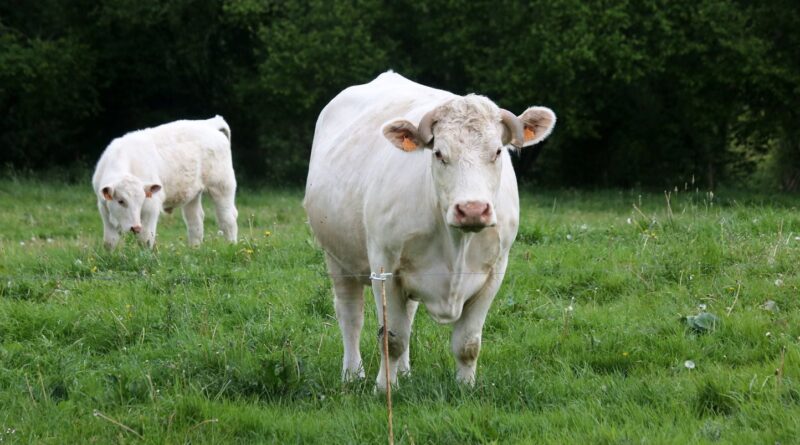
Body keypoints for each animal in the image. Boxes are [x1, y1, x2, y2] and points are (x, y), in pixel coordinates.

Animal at [92, 116, 238, 249]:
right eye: (120, 201)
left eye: (142, 200)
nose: (135, 227)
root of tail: (210, 123)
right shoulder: (104, 208)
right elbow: (109, 242)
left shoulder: (151, 206)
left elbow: (145, 239)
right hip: (193, 194)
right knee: (195, 221)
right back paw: (194, 249)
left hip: (222, 186)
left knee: (227, 219)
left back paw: (231, 246)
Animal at [304, 72, 556, 390]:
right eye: (438, 153)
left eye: (497, 151)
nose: (472, 209)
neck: (456, 243)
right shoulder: (384, 268)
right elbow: (392, 339)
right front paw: (384, 388)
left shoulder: (494, 272)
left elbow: (468, 342)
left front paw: (465, 387)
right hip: (337, 256)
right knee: (350, 315)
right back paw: (352, 374)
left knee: (408, 315)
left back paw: (404, 371)